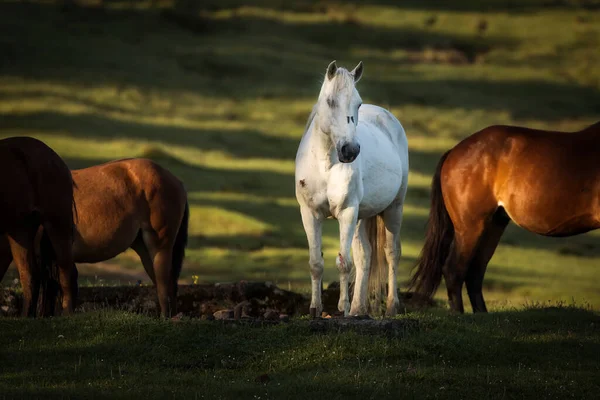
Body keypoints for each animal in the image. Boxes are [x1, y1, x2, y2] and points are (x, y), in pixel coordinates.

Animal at [0, 136, 77, 318]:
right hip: (20, 231)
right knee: (30, 275)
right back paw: (26, 317)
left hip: (57, 225)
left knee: (65, 271)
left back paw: (67, 313)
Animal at [294, 61, 408, 318]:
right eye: (330, 101)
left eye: (358, 103)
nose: (350, 150)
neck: (325, 164)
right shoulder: (309, 214)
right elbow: (316, 263)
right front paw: (315, 309)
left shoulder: (346, 212)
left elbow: (344, 263)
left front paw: (342, 309)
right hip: (361, 217)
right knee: (364, 255)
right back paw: (358, 309)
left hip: (393, 208)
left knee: (391, 253)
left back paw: (390, 307)